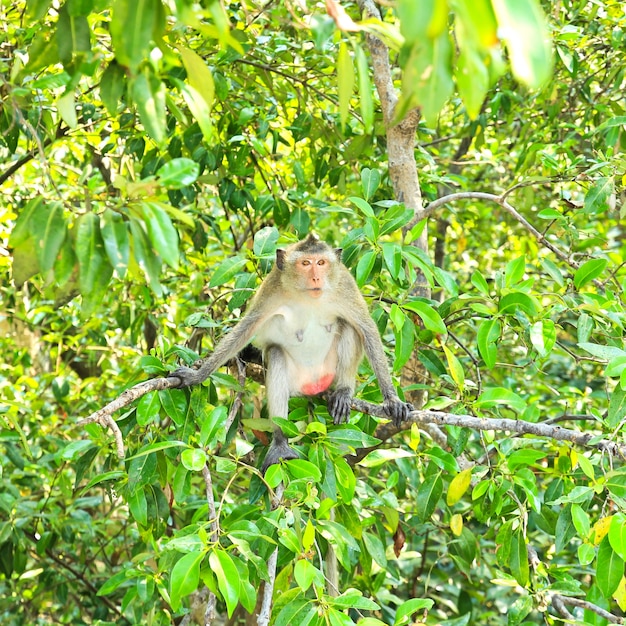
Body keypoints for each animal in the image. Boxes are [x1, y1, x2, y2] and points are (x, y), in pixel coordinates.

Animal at [169, 233, 414, 468]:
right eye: (305, 263)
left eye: (321, 262)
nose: (316, 277)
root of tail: (314, 386)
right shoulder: (273, 288)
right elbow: (246, 329)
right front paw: (196, 376)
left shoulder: (345, 285)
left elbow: (366, 328)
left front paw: (392, 400)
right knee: (276, 353)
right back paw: (280, 442)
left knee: (349, 327)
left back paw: (344, 391)